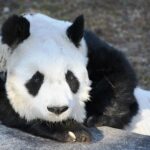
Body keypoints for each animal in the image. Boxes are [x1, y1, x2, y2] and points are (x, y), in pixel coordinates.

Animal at [0, 12, 149, 142]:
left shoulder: (91, 51)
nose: (58, 109)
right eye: (36, 79)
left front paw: (99, 117)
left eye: (70, 77)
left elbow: (118, 74)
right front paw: (71, 130)